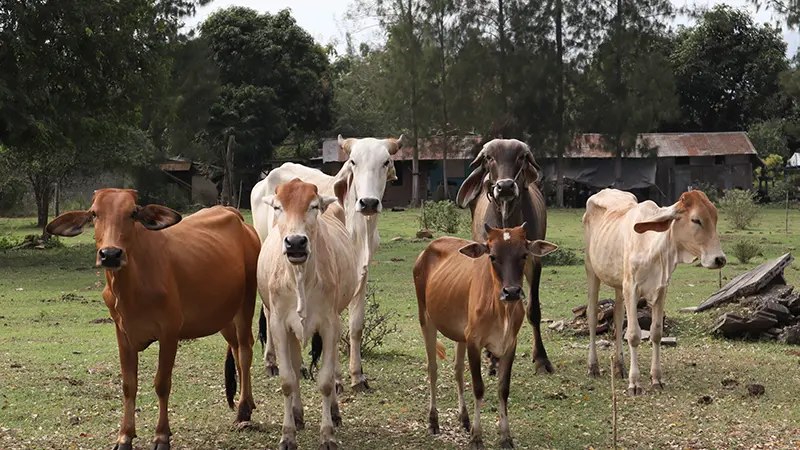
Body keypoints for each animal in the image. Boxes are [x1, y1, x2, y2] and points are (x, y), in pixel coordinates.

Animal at [44, 189, 260, 450]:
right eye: (94, 213)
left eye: (133, 212)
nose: (110, 254)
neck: (131, 288)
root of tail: (236, 217)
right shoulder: (122, 333)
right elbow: (129, 385)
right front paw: (124, 436)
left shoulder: (169, 333)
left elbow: (162, 384)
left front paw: (161, 435)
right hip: (224, 315)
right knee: (237, 351)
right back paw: (247, 402)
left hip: (246, 302)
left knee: (246, 350)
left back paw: (243, 409)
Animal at [253, 133, 406, 390]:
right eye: (353, 161)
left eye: (385, 162)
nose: (369, 202)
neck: (358, 227)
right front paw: (336, 377)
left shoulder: (361, 273)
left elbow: (355, 326)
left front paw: (357, 375)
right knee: (268, 310)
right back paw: (273, 362)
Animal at [258, 179, 358, 450]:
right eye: (278, 207)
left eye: (313, 206)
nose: (295, 242)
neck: (300, 275)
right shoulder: (279, 325)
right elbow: (287, 379)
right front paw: (288, 434)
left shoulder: (330, 324)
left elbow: (325, 381)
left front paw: (327, 434)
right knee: (294, 368)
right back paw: (297, 413)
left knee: (332, 371)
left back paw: (334, 412)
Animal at [412, 223, 556, 448]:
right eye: (493, 256)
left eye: (524, 254)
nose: (512, 292)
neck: (501, 311)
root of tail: (426, 251)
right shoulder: (474, 341)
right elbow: (478, 388)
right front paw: (476, 437)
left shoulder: (509, 344)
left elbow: (503, 389)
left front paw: (505, 437)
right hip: (426, 319)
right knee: (433, 369)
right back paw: (433, 421)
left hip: (460, 333)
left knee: (458, 370)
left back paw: (464, 419)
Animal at [580, 188, 724, 396]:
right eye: (696, 220)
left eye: (715, 217)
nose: (720, 259)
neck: (652, 246)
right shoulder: (631, 288)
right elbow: (633, 335)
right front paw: (634, 383)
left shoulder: (660, 290)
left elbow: (656, 333)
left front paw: (656, 378)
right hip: (591, 270)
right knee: (592, 316)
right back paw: (593, 366)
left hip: (619, 283)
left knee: (617, 318)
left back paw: (620, 366)